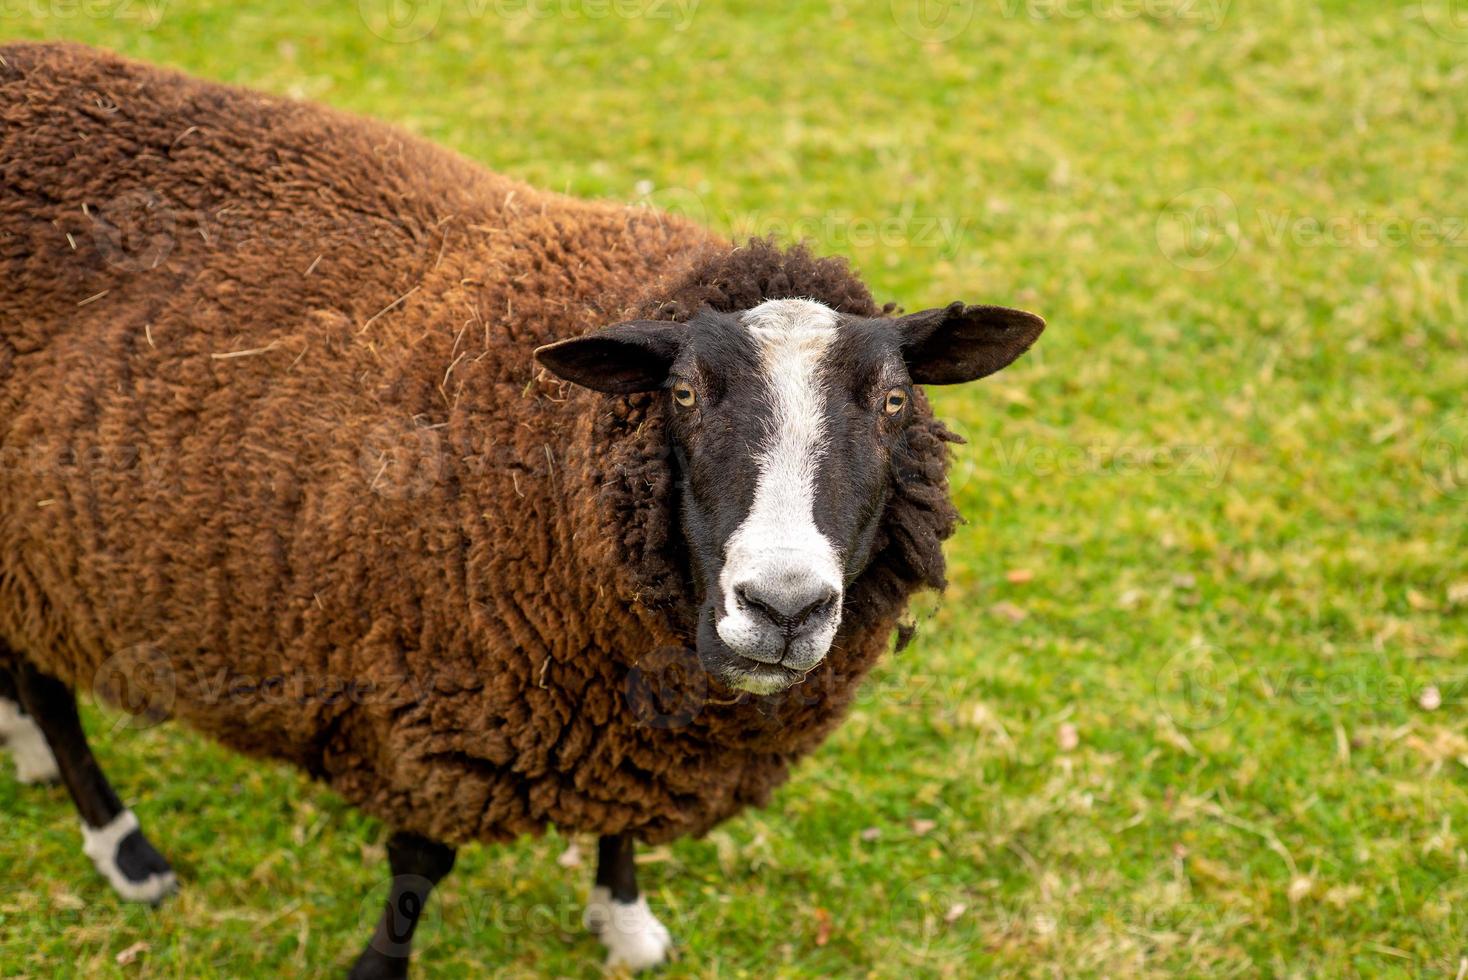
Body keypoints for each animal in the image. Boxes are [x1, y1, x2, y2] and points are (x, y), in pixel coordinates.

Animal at [0, 44, 1045, 974]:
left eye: (896, 401)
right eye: (683, 395)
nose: (783, 607)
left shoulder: (627, 717)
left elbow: (620, 827)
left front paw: (625, 922)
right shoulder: (428, 710)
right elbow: (418, 872)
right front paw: (378, 967)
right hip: (33, 549)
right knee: (53, 686)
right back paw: (124, 847)